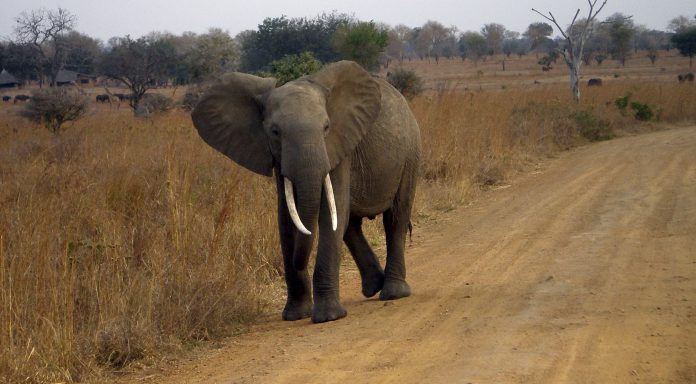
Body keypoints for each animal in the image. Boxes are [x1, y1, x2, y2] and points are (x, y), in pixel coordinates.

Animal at [190, 60, 418, 324]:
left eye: (326, 127)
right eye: (275, 132)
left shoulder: (339, 147)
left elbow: (330, 213)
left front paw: (328, 317)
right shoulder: (278, 158)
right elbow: (287, 218)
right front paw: (296, 315)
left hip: (410, 154)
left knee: (395, 218)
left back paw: (393, 293)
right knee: (350, 224)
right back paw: (374, 286)